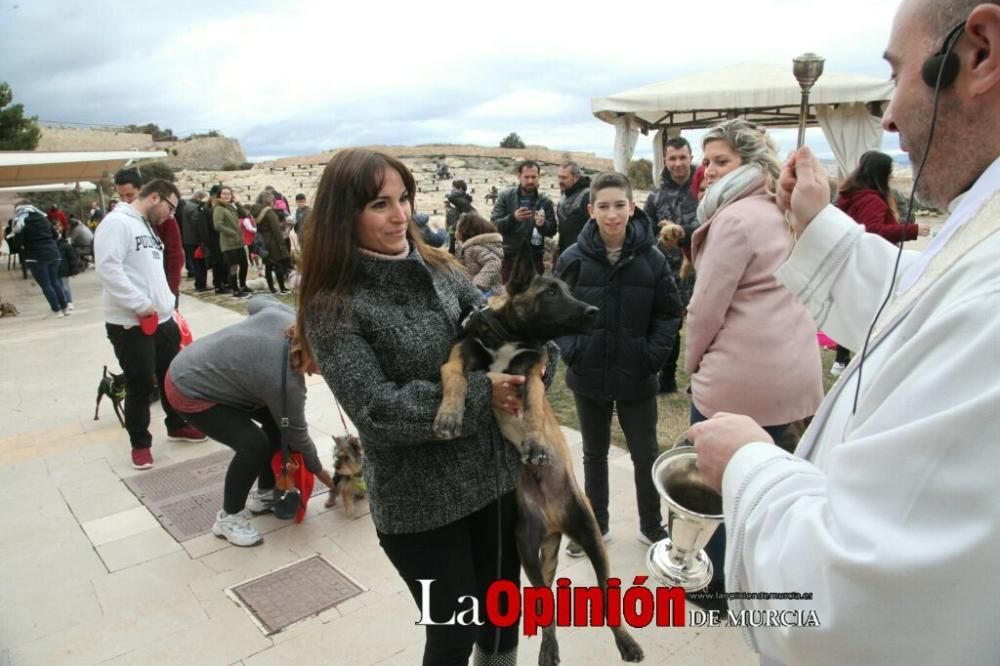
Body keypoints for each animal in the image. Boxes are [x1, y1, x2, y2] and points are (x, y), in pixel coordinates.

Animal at [430, 243, 640, 664]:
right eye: (550, 292)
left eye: (569, 290)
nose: (592, 311)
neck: (510, 336)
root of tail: (556, 518)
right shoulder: (461, 353)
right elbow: (454, 375)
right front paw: (449, 414)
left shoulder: (533, 370)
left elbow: (531, 402)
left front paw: (536, 443)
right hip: (529, 556)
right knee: (547, 608)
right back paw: (549, 649)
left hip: (592, 539)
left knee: (607, 597)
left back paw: (625, 642)